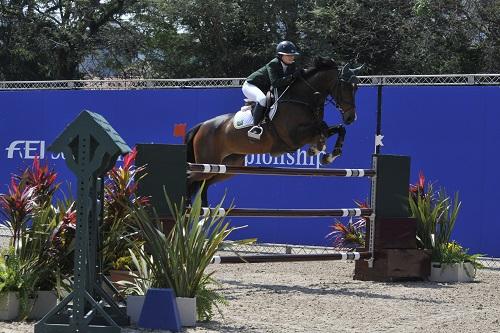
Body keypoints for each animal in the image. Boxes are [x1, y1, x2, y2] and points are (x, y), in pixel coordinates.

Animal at [184, 55, 360, 204]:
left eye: (356, 88)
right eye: (344, 86)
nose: (351, 118)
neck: (302, 98)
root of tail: (202, 125)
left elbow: (338, 128)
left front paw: (329, 156)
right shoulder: (293, 137)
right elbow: (321, 127)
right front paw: (317, 149)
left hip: (227, 166)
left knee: (204, 184)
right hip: (208, 162)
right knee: (191, 178)